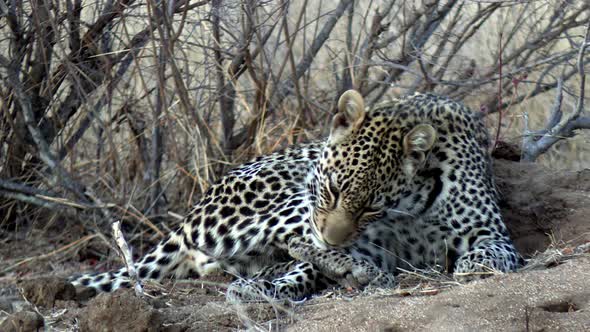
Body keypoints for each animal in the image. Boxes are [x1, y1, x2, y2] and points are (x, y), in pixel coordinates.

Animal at [68, 89, 524, 302]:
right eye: (333, 189)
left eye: (372, 206)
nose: (335, 237)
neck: (412, 202)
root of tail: (190, 215)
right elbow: (313, 251)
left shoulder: (492, 233)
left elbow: (490, 251)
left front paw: (472, 264)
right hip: (283, 201)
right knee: (287, 248)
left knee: (268, 266)